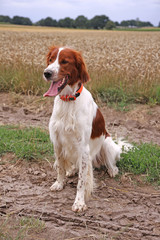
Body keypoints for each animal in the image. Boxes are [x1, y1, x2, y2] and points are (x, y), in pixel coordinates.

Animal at [43, 46, 121, 212]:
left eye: (64, 61)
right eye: (51, 60)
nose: (46, 73)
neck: (68, 101)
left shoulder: (83, 148)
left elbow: (82, 181)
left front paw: (79, 202)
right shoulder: (57, 142)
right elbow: (60, 167)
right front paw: (59, 183)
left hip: (106, 143)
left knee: (111, 163)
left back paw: (112, 170)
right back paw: (71, 170)